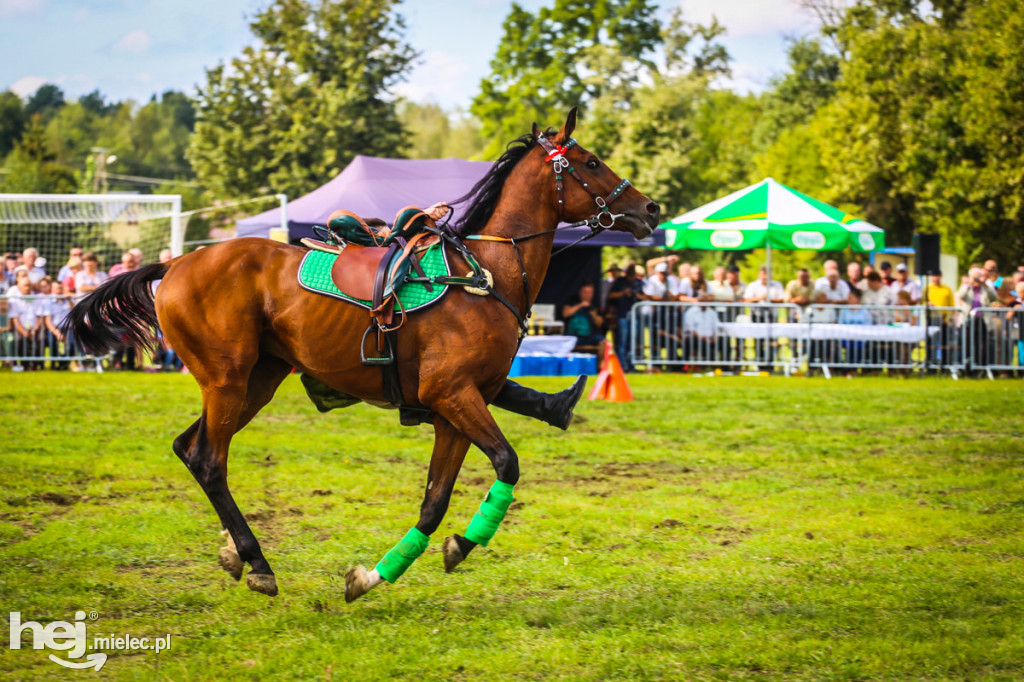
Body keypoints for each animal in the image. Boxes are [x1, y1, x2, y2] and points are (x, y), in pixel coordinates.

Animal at [66, 109, 655, 602]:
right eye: (592, 162)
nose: (649, 208)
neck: (484, 274)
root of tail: (175, 265)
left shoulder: (455, 410)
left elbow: (434, 503)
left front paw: (377, 574)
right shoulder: (454, 396)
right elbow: (507, 462)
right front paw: (458, 545)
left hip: (257, 380)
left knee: (190, 448)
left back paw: (235, 551)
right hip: (227, 380)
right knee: (210, 460)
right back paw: (258, 563)